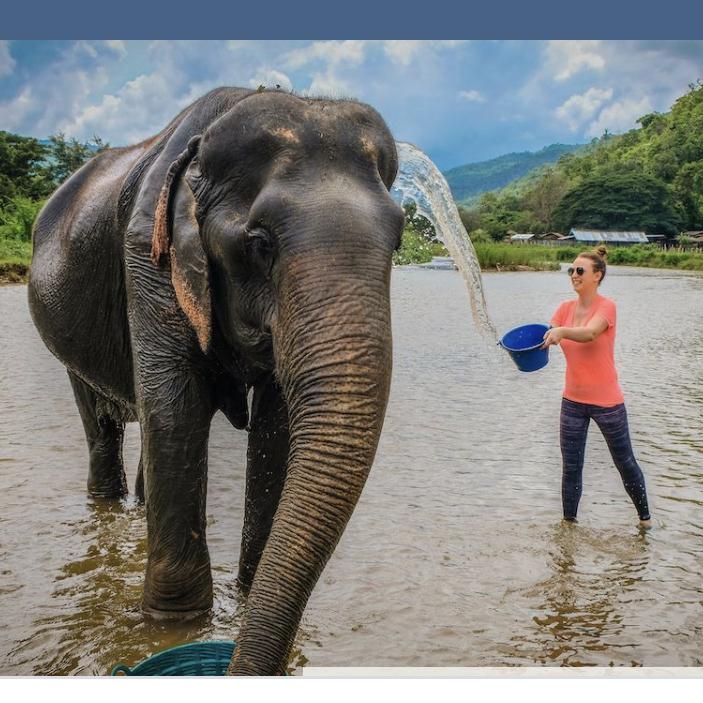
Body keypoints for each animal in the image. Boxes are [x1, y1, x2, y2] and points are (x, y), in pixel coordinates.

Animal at [27, 87, 404, 675]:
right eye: (260, 242)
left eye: (401, 239)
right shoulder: (148, 260)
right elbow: (177, 411)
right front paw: (173, 626)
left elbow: (277, 430)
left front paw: (243, 599)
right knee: (105, 426)